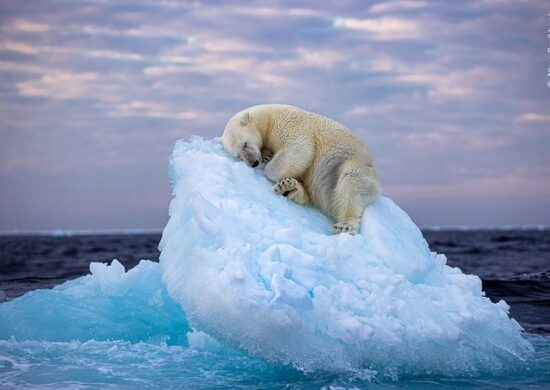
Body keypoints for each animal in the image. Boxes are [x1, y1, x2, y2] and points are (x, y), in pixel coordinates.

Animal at [222, 103, 382, 235]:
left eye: (245, 144)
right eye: (238, 155)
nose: (254, 163)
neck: (268, 118)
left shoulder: (289, 125)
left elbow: (300, 149)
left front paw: (269, 165)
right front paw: (267, 155)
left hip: (354, 163)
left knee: (351, 184)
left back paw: (344, 225)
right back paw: (288, 187)